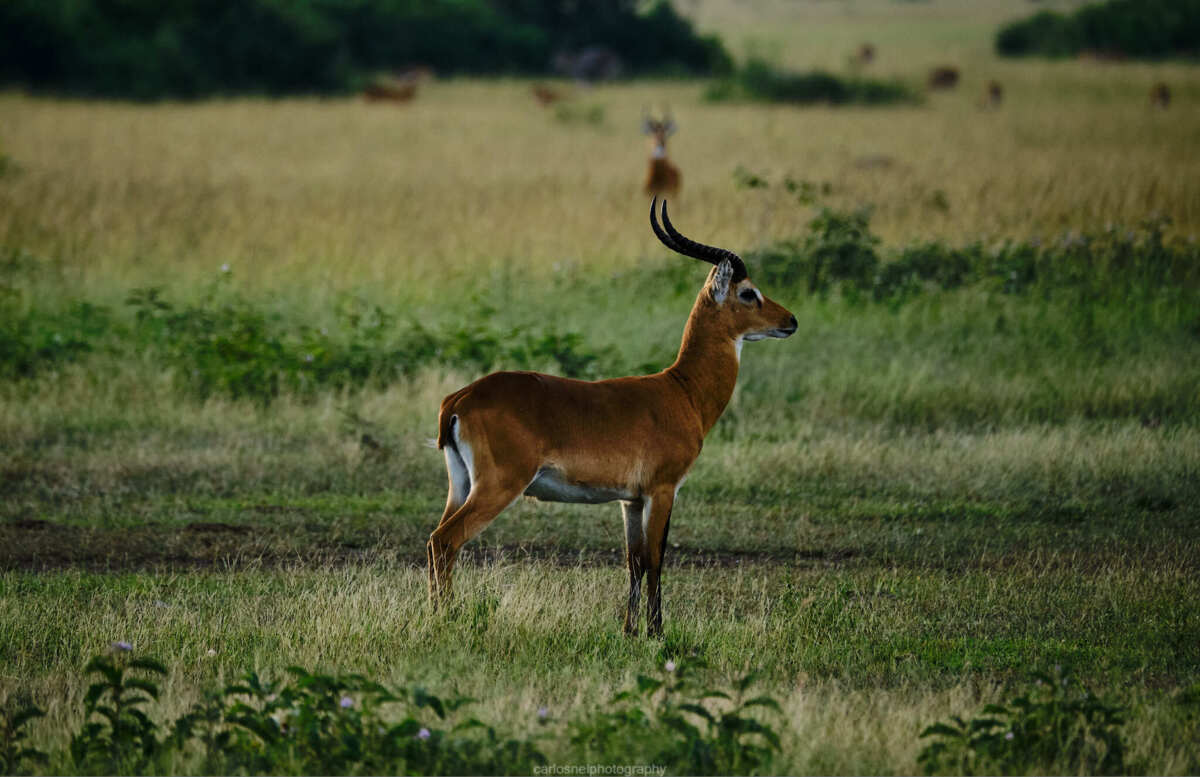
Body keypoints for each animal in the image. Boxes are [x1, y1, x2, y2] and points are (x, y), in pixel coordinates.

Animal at [429, 200, 796, 637]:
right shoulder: (662, 490)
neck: (682, 392)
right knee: (447, 540)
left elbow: (633, 561)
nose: (791, 321)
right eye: (748, 292)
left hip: (460, 484)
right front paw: (656, 632)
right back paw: (447, 619)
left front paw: (629, 630)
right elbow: (656, 559)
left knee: (435, 540)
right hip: (498, 485)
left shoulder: (629, 501)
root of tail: (461, 397)